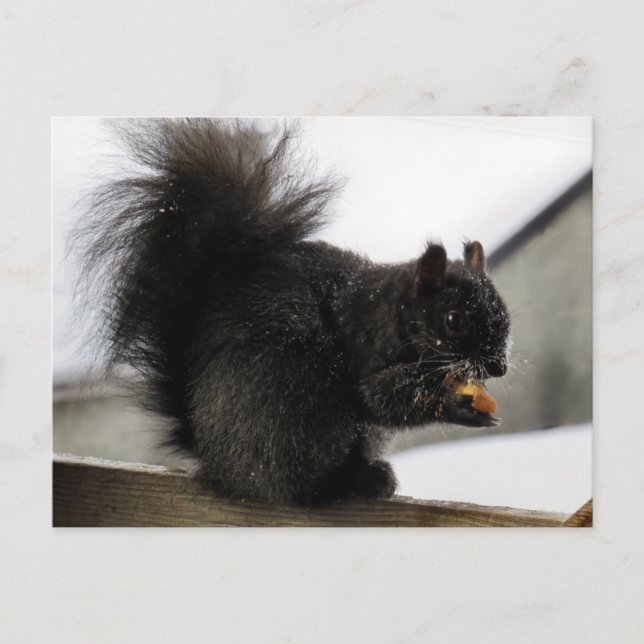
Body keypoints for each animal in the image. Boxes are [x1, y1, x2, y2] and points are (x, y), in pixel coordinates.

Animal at [74, 119, 511, 505]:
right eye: (454, 320)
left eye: (504, 313)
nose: (498, 367)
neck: (395, 312)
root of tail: (215, 458)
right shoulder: (367, 347)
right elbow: (383, 397)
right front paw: (458, 406)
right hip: (292, 404)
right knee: (296, 489)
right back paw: (346, 483)